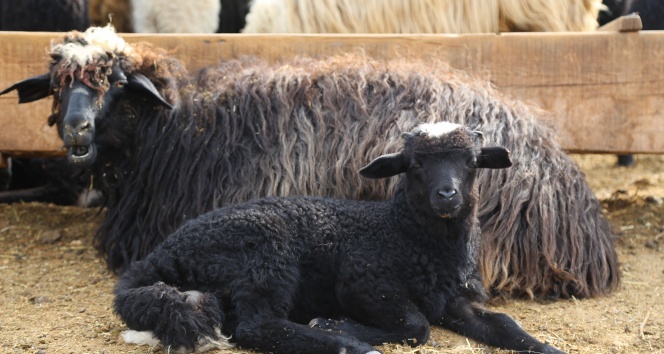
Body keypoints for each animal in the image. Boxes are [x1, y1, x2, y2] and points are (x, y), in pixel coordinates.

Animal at [116, 122, 564, 354]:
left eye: (471, 162)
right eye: (415, 165)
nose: (447, 195)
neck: (405, 236)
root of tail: (160, 255)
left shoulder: (455, 299)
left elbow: (505, 323)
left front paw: (547, 348)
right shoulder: (363, 282)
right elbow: (416, 326)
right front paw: (337, 324)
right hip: (264, 257)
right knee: (256, 326)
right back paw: (346, 344)